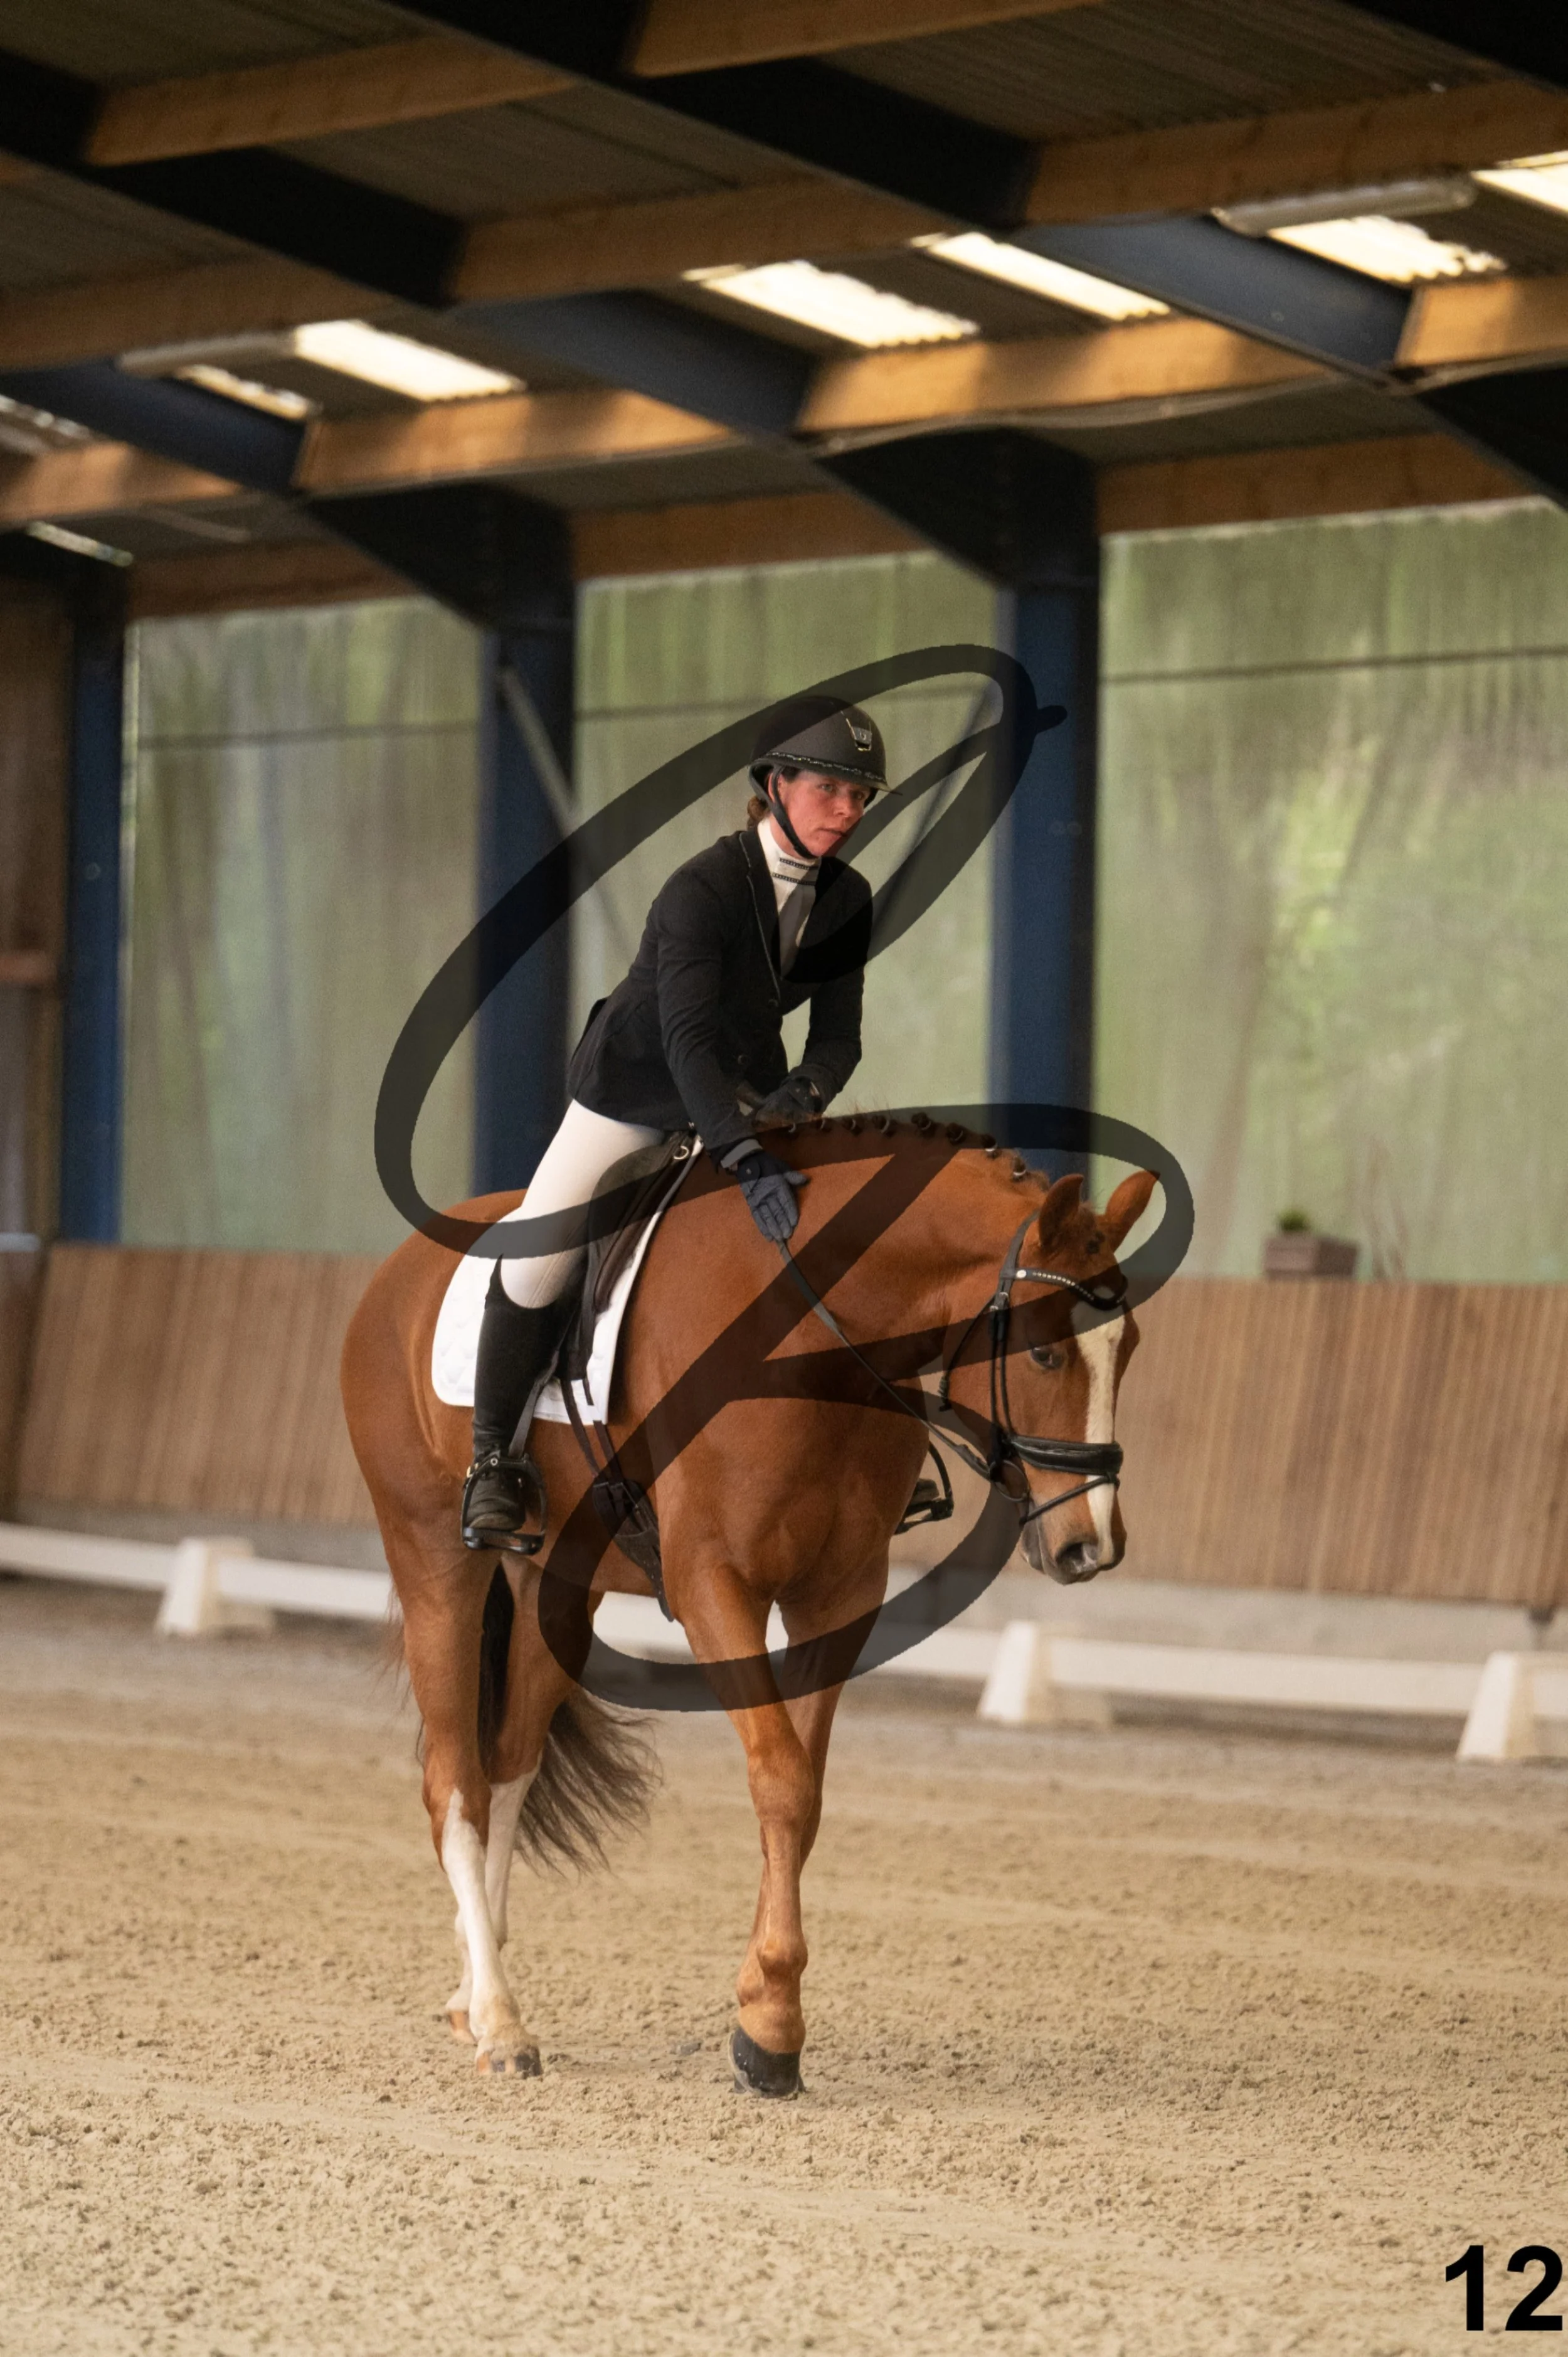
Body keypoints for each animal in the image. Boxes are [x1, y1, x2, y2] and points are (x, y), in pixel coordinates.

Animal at [340, 1115, 1155, 2089]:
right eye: (1042, 1350)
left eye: (1128, 1349)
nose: (1089, 1546)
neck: (810, 1334)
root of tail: (395, 1273)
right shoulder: (712, 1587)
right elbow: (779, 1777)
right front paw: (769, 2026)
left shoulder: (840, 1594)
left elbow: (804, 1796)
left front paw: (769, 2013)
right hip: (435, 1561)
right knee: (455, 1782)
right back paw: (502, 2024)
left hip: (554, 1590)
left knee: (509, 1769)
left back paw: (476, 1992)